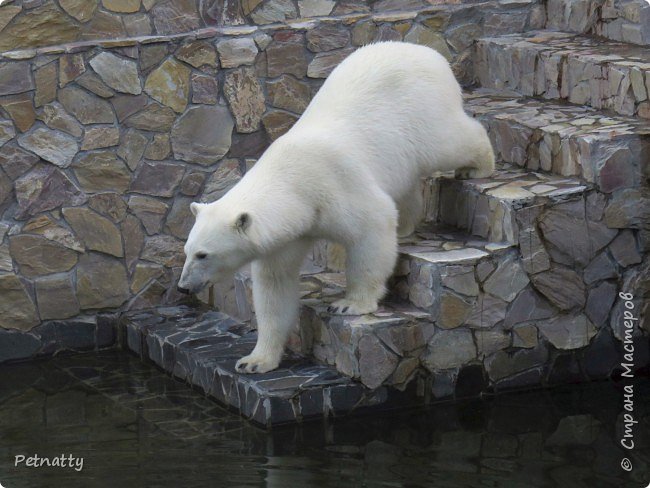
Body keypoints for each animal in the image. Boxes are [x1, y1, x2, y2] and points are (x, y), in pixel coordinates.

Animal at [177, 41, 492, 374]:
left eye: (203, 254)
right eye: (186, 250)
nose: (183, 287)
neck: (292, 184)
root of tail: (428, 52)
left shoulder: (334, 183)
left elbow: (371, 228)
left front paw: (350, 303)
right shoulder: (286, 236)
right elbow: (275, 287)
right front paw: (255, 360)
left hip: (420, 114)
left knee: (449, 142)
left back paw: (478, 165)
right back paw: (406, 226)